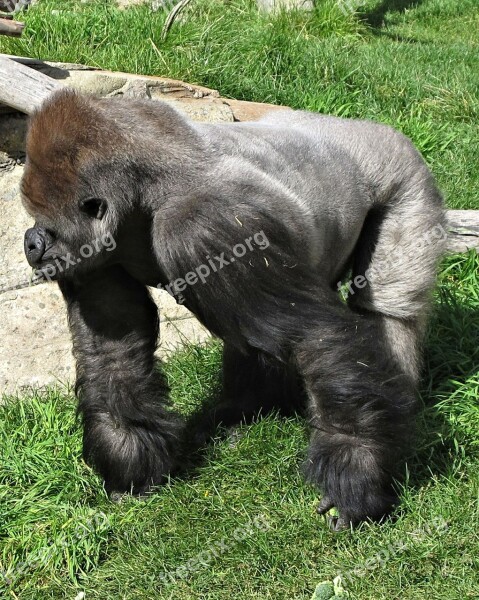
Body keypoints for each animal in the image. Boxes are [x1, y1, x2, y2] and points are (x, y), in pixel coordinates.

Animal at [19, 90, 446, 528]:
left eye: (48, 228)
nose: (30, 242)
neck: (145, 192)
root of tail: (377, 129)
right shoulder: (97, 256)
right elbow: (112, 350)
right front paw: (130, 461)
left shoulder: (207, 225)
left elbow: (314, 336)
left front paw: (356, 470)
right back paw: (245, 411)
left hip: (406, 175)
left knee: (388, 310)